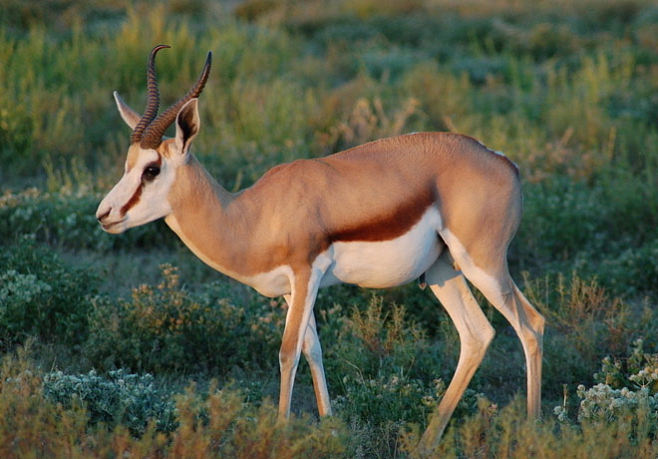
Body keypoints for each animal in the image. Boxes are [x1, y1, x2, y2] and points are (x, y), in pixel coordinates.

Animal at [93, 45, 544, 454]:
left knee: (531, 325)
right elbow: (313, 349)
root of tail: (502, 160)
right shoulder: (293, 289)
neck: (251, 214)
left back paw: (532, 432)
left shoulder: (305, 273)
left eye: (152, 169)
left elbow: (288, 351)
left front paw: (279, 434)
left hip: (483, 264)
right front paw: (331, 429)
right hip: (441, 272)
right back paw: (426, 443)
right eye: (128, 164)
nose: (103, 214)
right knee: (478, 334)